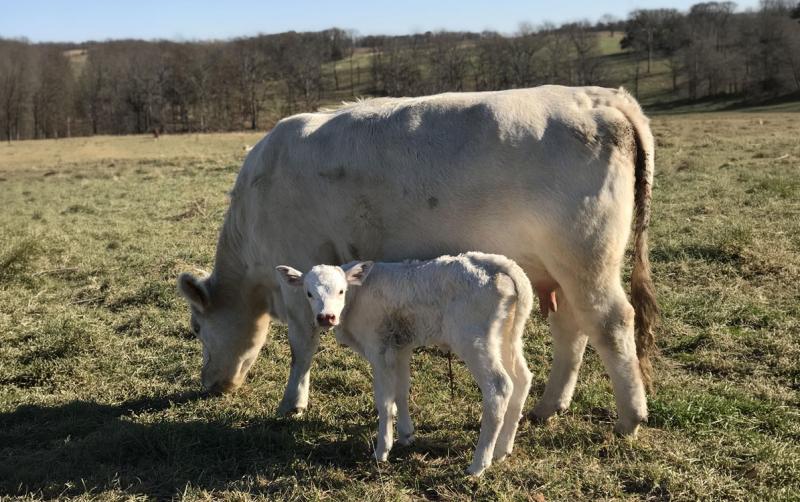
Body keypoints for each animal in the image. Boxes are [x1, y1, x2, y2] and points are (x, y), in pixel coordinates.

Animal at [177, 85, 658, 436]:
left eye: (197, 328)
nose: (208, 384)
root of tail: (604, 97)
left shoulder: (298, 268)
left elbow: (302, 346)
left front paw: (291, 402)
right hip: (556, 269)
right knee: (572, 328)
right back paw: (548, 406)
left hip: (586, 257)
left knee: (611, 321)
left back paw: (630, 418)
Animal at [275, 252, 534, 476]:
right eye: (309, 293)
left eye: (341, 291)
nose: (326, 317)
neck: (357, 297)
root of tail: (498, 264)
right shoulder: (400, 348)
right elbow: (401, 390)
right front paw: (406, 435)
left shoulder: (378, 348)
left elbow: (384, 401)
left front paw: (382, 450)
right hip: (506, 336)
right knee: (522, 379)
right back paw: (502, 450)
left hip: (473, 340)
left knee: (499, 387)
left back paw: (479, 464)